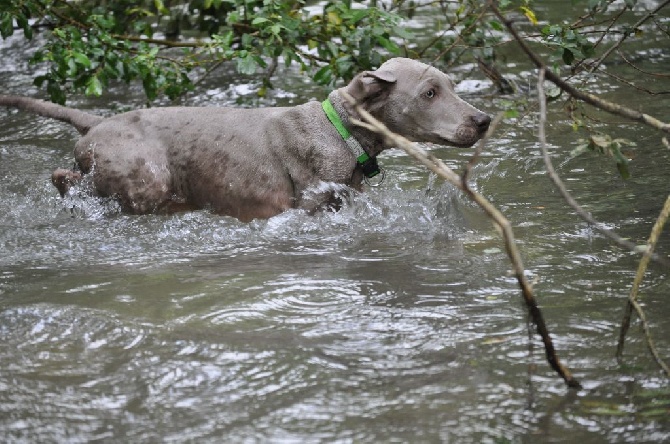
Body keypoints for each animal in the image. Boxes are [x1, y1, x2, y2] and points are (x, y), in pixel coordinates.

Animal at [1, 57, 494, 220]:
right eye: (429, 93)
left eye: (451, 85)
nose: (483, 119)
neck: (342, 132)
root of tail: (95, 122)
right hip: (144, 178)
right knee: (66, 177)